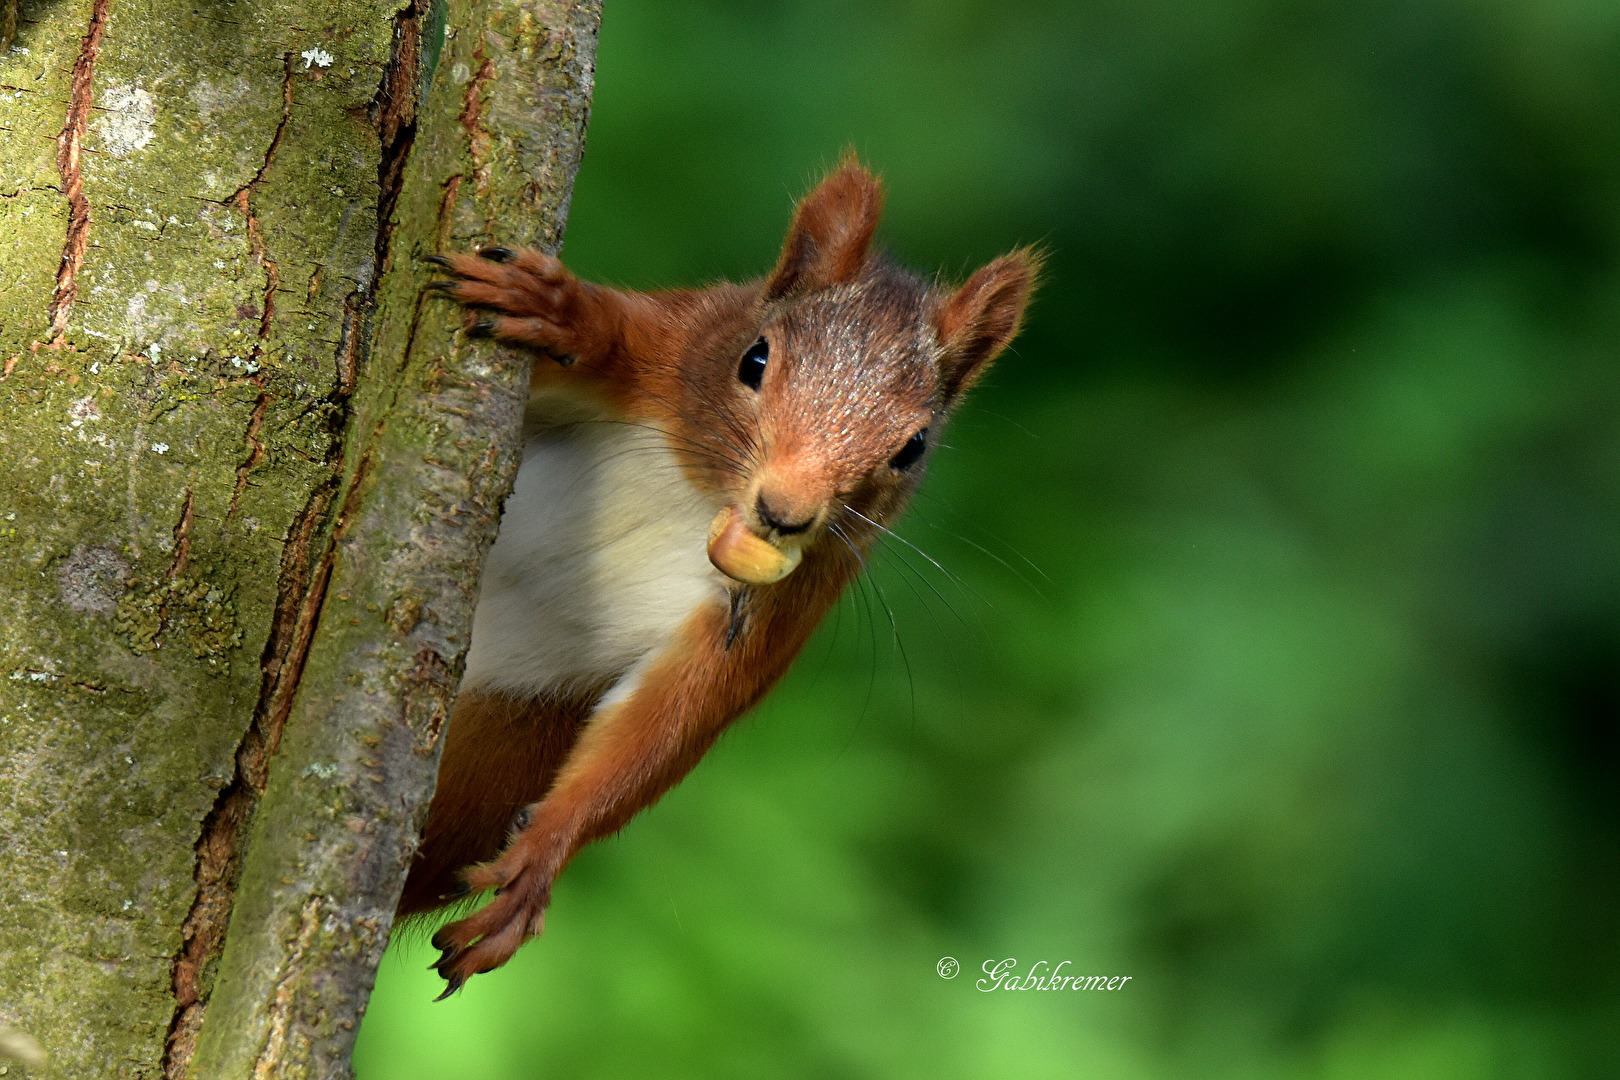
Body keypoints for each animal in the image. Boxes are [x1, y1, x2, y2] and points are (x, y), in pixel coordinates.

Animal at [405, 158, 1036, 997]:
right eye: (755, 359)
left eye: (914, 446)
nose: (785, 513)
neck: (701, 492)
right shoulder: (668, 341)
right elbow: (608, 339)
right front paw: (562, 314)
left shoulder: (787, 600)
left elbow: (673, 717)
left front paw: (539, 864)